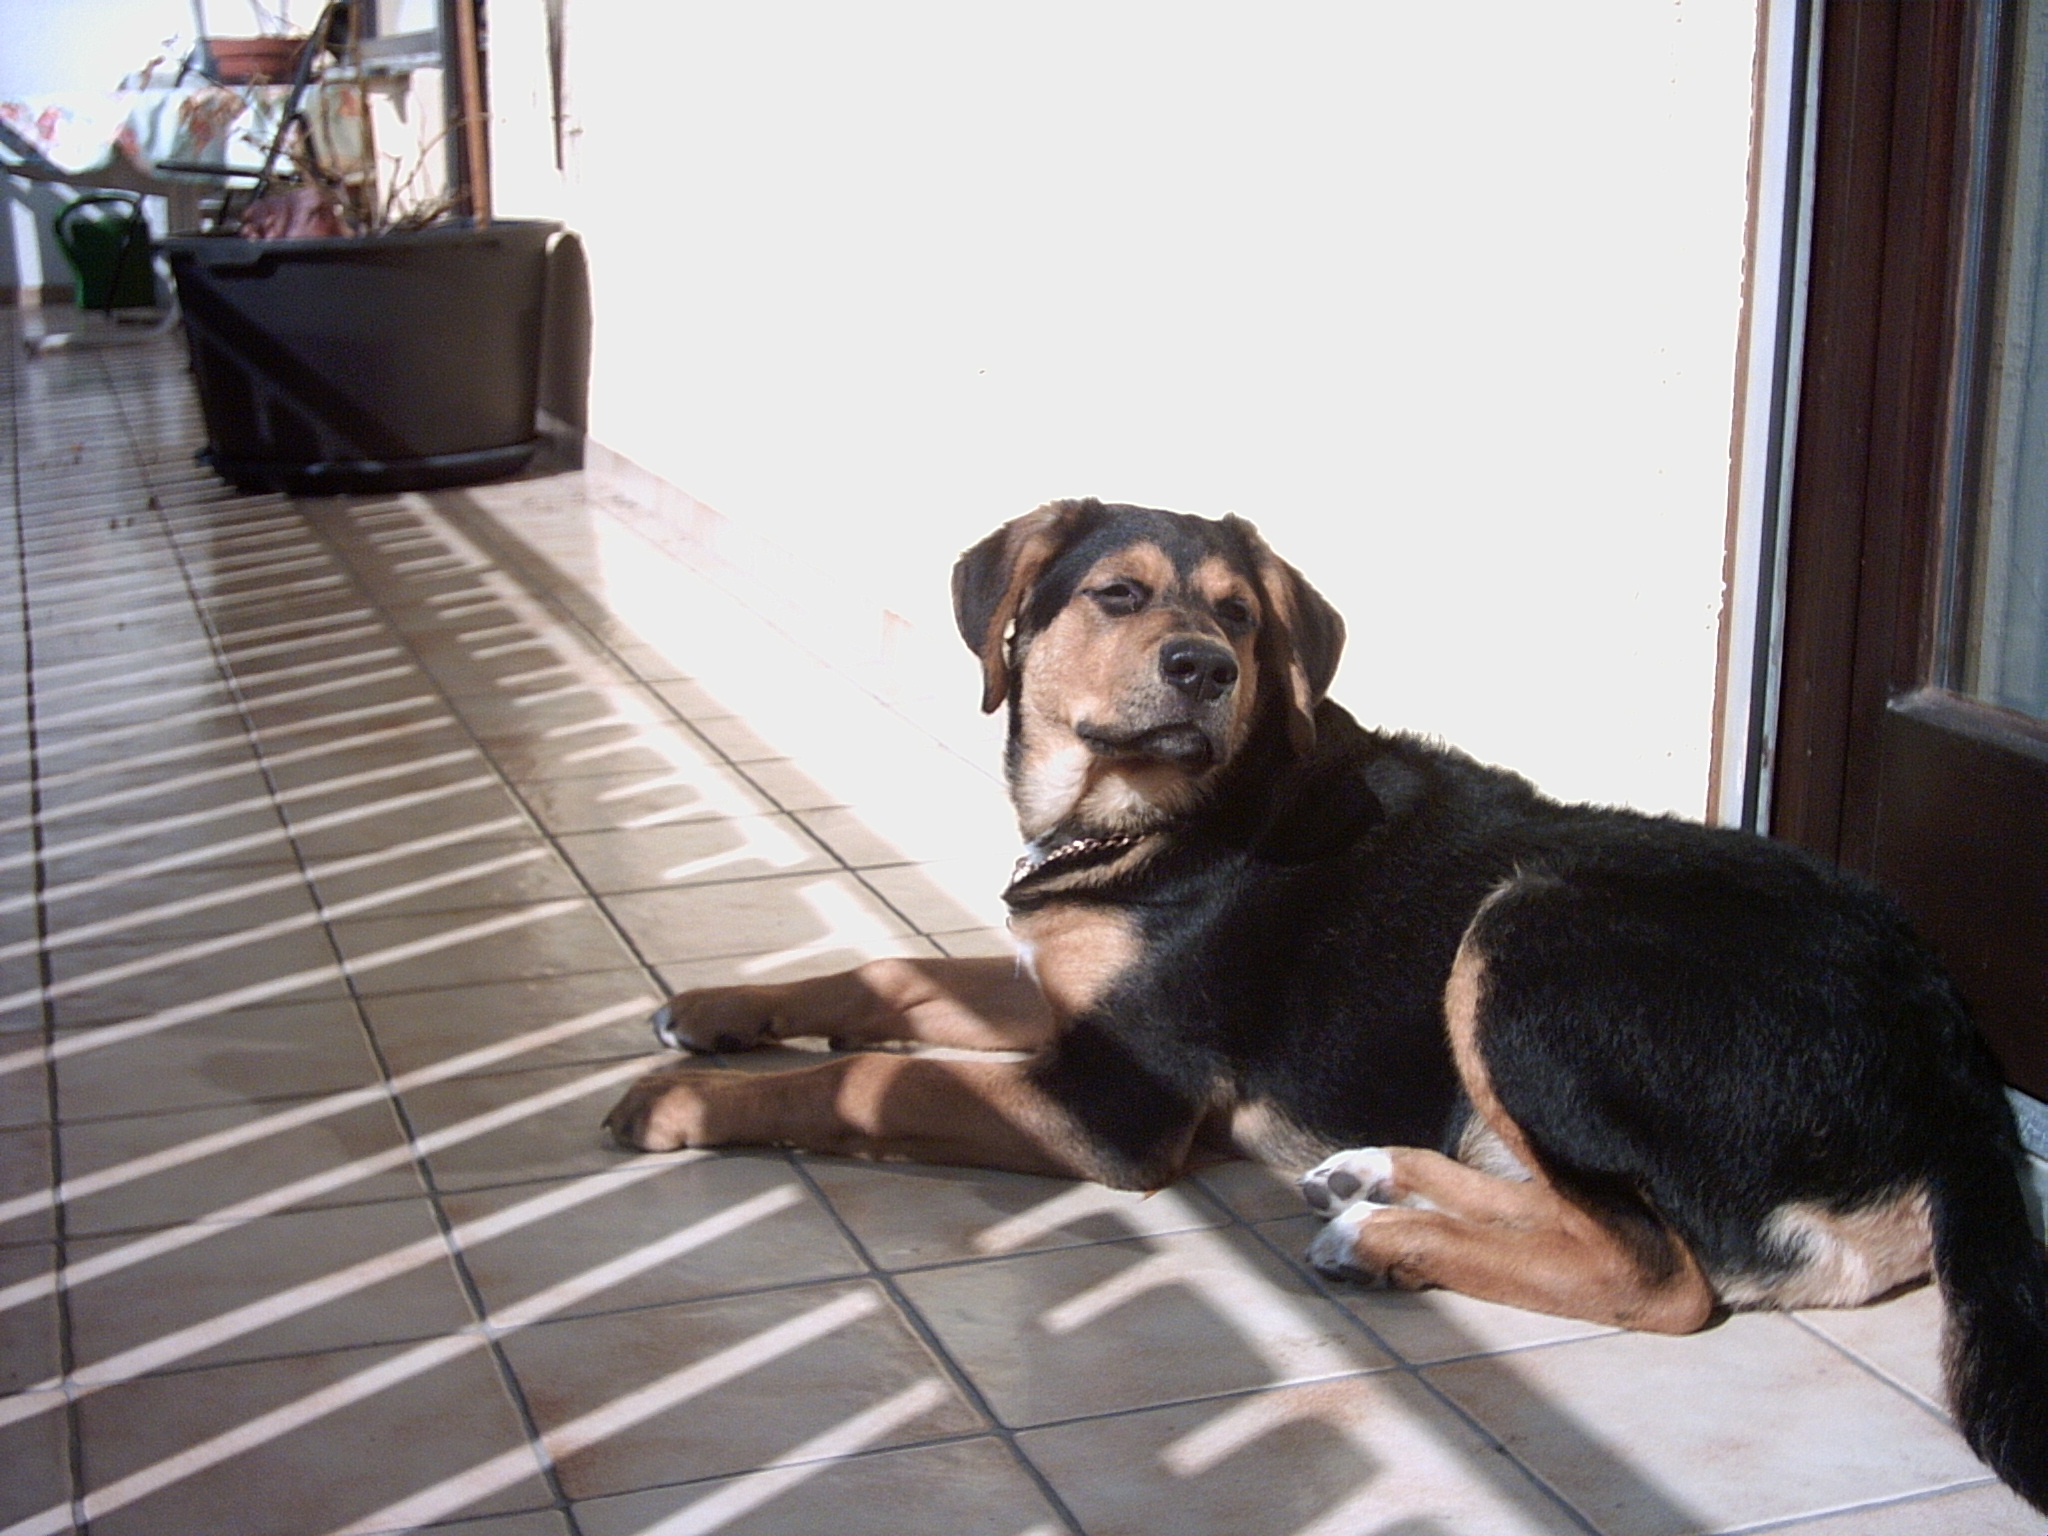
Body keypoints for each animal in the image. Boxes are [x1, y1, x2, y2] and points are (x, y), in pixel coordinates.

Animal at [605, 498, 2048, 1511]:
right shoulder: (1062, 1003)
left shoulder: (1112, 1097)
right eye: (1117, 595)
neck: (1141, 824)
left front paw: (683, 1100)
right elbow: (882, 975)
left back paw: (1389, 1236)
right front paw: (716, 1007)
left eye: (1242, 619)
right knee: (1602, 1214)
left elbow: (868, 1076)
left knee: (1662, 1272)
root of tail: (1958, 1064)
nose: (1200, 668)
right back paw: (1378, 1178)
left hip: (1524, 930)